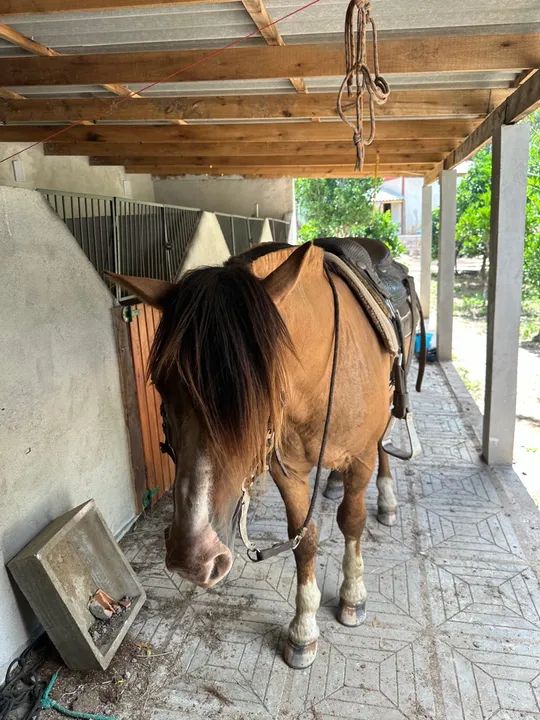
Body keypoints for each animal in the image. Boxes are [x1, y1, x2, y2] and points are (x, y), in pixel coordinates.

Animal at [110, 241, 402, 669]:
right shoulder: (289, 470)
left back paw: (387, 500)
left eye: (260, 391)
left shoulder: (360, 457)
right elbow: (305, 538)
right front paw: (304, 628)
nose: (193, 558)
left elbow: (352, 521)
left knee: (383, 451)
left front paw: (352, 595)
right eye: (161, 384)